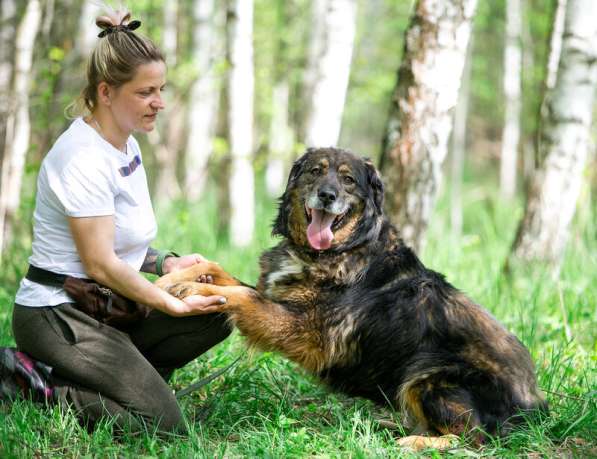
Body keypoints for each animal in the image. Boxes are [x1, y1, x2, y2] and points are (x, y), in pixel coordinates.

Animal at [156, 149, 548, 452]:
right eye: (315, 171)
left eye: (348, 180)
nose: (327, 195)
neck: (336, 251)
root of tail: (534, 405)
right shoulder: (276, 297)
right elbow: (220, 271)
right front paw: (177, 277)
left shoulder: (307, 333)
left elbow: (241, 295)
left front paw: (195, 291)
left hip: (429, 376)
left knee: (475, 438)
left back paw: (417, 442)